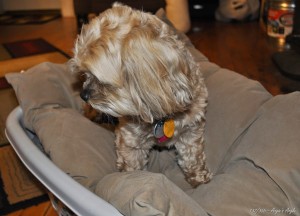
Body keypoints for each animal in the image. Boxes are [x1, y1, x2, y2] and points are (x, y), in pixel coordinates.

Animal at [70, 2, 211, 186]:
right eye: (85, 73)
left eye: (102, 80)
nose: (83, 95)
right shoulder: (130, 141)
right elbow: (132, 167)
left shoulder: (191, 130)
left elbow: (193, 155)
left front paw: (199, 177)